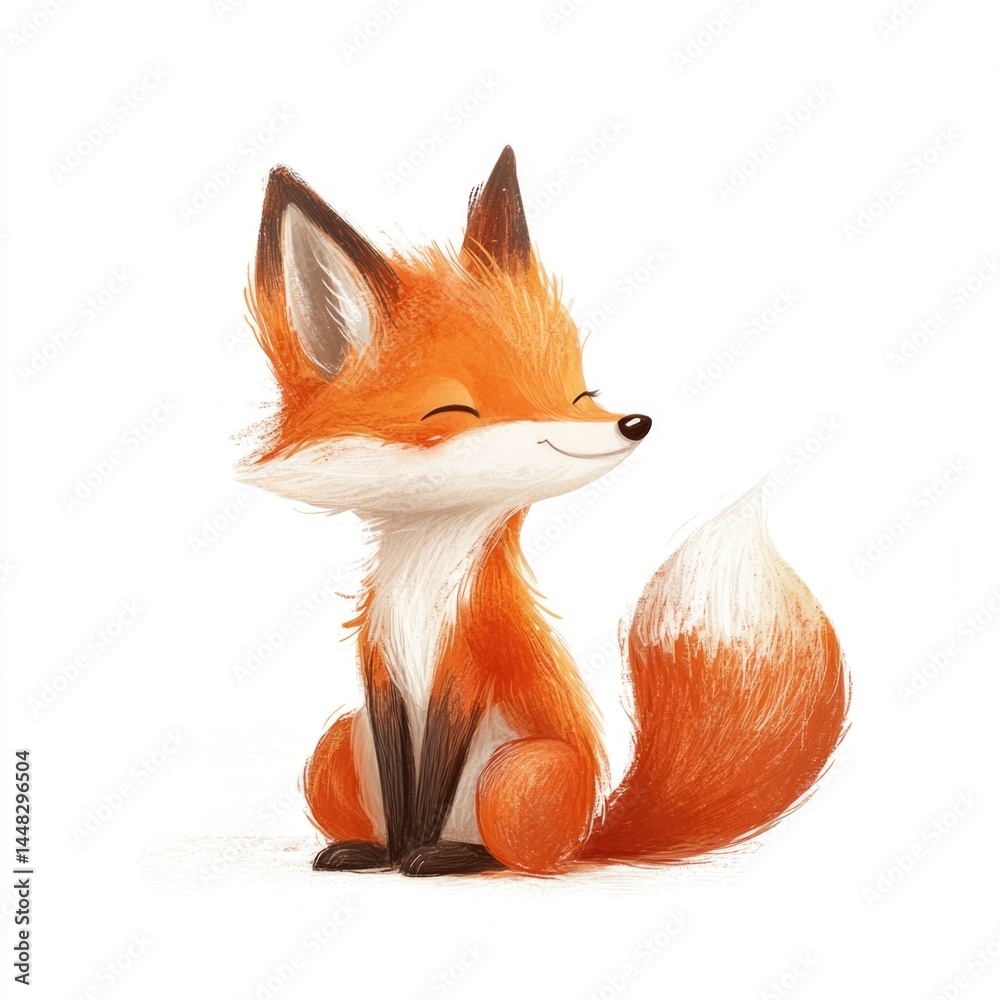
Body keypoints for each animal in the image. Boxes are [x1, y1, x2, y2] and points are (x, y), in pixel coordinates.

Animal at [236, 146, 848, 877]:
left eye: (578, 392)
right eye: (456, 410)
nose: (633, 423)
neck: (422, 591)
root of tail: (591, 830)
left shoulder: (470, 664)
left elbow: (432, 783)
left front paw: (418, 853)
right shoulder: (380, 671)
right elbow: (402, 772)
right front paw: (395, 851)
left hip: (517, 772)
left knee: (517, 857)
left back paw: (458, 853)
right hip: (337, 742)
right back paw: (368, 847)